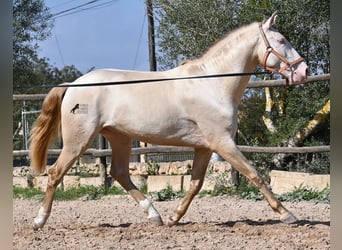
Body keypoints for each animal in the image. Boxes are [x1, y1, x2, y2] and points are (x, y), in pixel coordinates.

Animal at [29, 12, 308, 229]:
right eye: (281, 40)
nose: (303, 71)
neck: (213, 84)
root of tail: (73, 85)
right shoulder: (223, 143)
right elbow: (254, 174)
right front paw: (288, 215)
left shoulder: (205, 147)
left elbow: (195, 184)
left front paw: (174, 218)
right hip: (79, 140)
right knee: (55, 173)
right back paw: (39, 221)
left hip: (120, 137)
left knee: (119, 173)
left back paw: (156, 216)